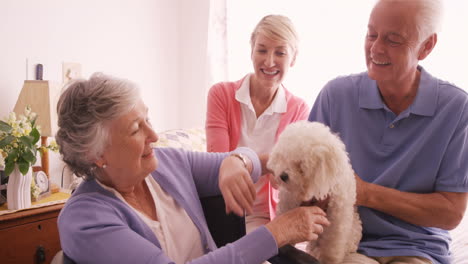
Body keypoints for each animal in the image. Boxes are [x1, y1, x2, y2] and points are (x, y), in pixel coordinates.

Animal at [266, 121, 362, 264]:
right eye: (284, 158)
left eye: (300, 165)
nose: (283, 176)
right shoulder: (288, 203)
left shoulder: (337, 218)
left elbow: (332, 244)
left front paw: (329, 259)